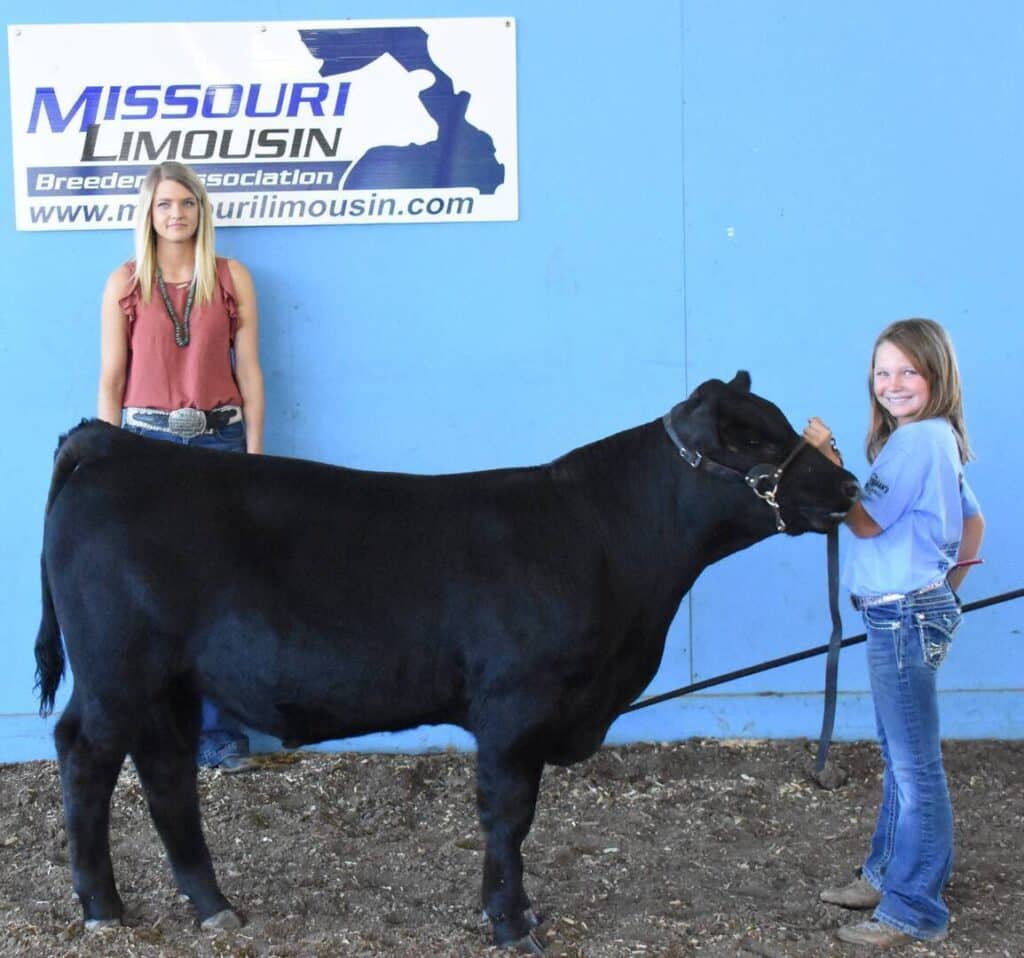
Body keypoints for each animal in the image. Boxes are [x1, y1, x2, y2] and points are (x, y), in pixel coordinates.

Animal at [35, 372, 858, 953]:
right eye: (749, 441)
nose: (849, 484)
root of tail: (115, 446)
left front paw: (517, 913)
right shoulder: (515, 709)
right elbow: (508, 816)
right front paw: (511, 923)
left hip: (167, 682)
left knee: (165, 772)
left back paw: (214, 908)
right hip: (116, 672)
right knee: (86, 758)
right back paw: (103, 908)